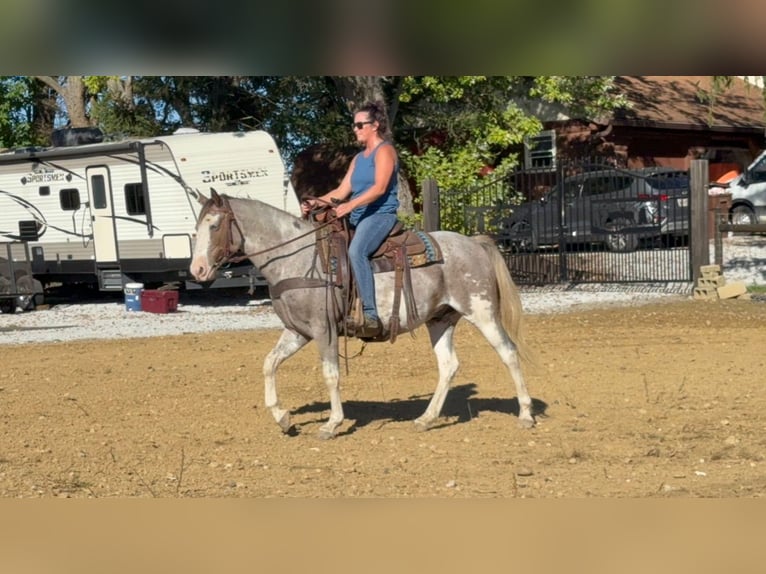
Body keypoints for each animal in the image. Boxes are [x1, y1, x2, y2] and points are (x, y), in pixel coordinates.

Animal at [190, 189, 536, 439]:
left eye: (215, 225)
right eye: (196, 227)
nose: (198, 270)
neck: (297, 259)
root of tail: (475, 244)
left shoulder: (324, 329)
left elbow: (330, 374)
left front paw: (331, 424)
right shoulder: (298, 332)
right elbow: (269, 363)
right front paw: (283, 418)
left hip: (482, 311)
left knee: (508, 352)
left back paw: (525, 414)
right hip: (441, 319)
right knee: (449, 365)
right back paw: (426, 419)